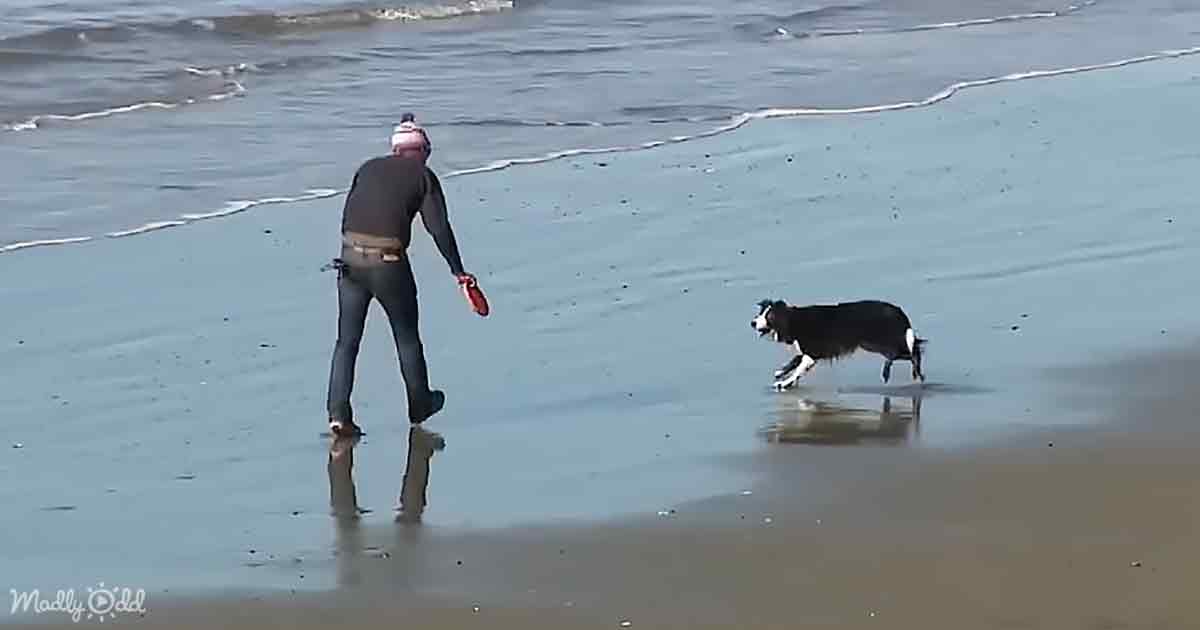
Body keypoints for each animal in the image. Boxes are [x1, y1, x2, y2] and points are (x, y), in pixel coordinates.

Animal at [748, 298, 926, 391]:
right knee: (908, 351)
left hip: (877, 341)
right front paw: (781, 372)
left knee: (907, 353)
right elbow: (795, 359)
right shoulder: (810, 350)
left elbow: (799, 368)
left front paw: (784, 383)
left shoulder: (813, 353)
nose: (752, 323)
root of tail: (899, 311)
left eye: (769, 316)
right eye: (760, 313)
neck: (792, 320)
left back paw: (893, 372)